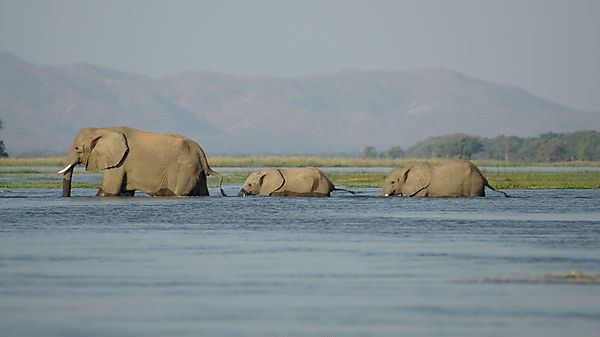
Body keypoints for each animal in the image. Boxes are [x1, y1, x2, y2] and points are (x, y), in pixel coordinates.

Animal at [58, 127, 225, 198]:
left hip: (185, 170)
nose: (66, 198)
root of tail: (202, 155)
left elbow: (108, 190)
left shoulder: (120, 162)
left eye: (77, 148)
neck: (103, 129)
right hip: (196, 171)